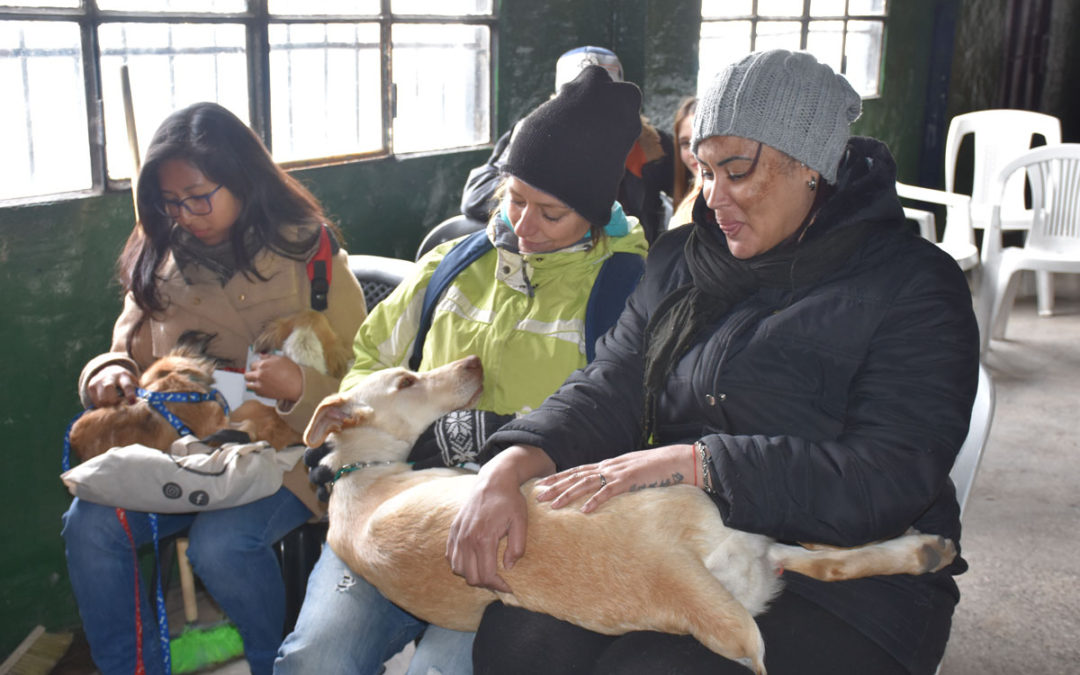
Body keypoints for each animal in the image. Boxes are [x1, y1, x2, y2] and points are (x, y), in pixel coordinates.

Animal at [304, 356, 954, 669]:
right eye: (407, 379)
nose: (474, 362)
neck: (357, 472)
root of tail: (673, 566)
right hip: (723, 512)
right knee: (813, 551)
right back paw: (920, 546)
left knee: (824, 560)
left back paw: (924, 549)